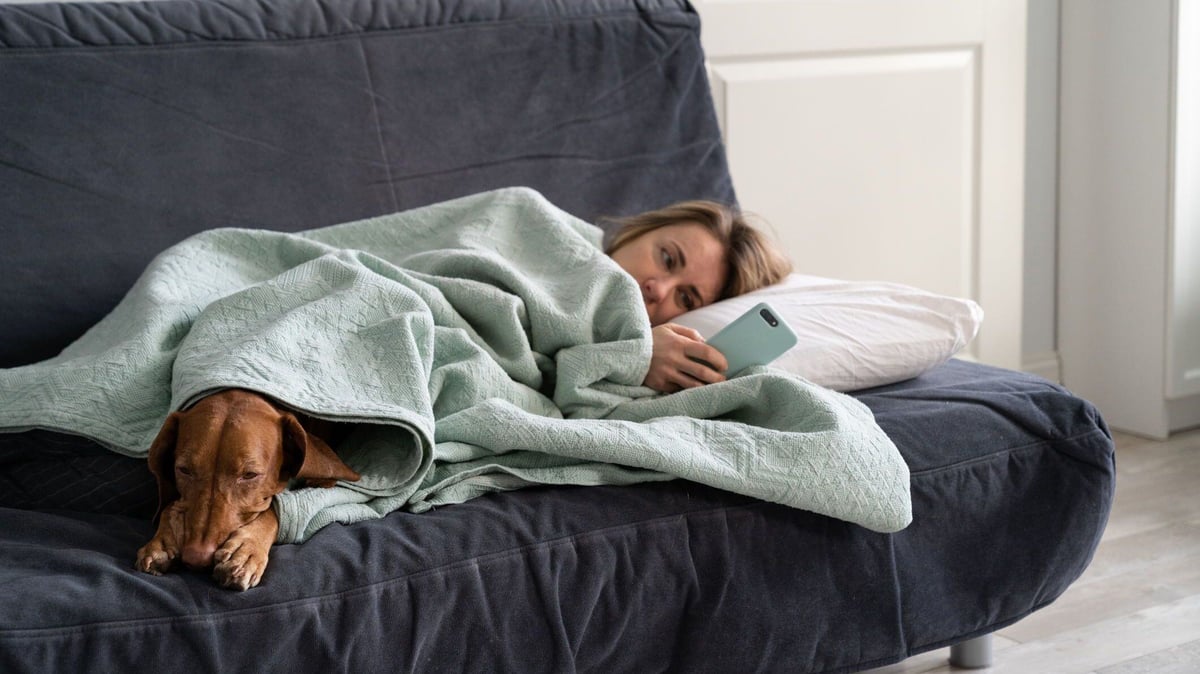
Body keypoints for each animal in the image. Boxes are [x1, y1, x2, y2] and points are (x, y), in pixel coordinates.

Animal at [136, 388, 357, 587]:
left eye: (250, 475)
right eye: (184, 470)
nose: (196, 559)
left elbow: (273, 508)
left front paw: (246, 550)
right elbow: (169, 505)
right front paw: (163, 540)